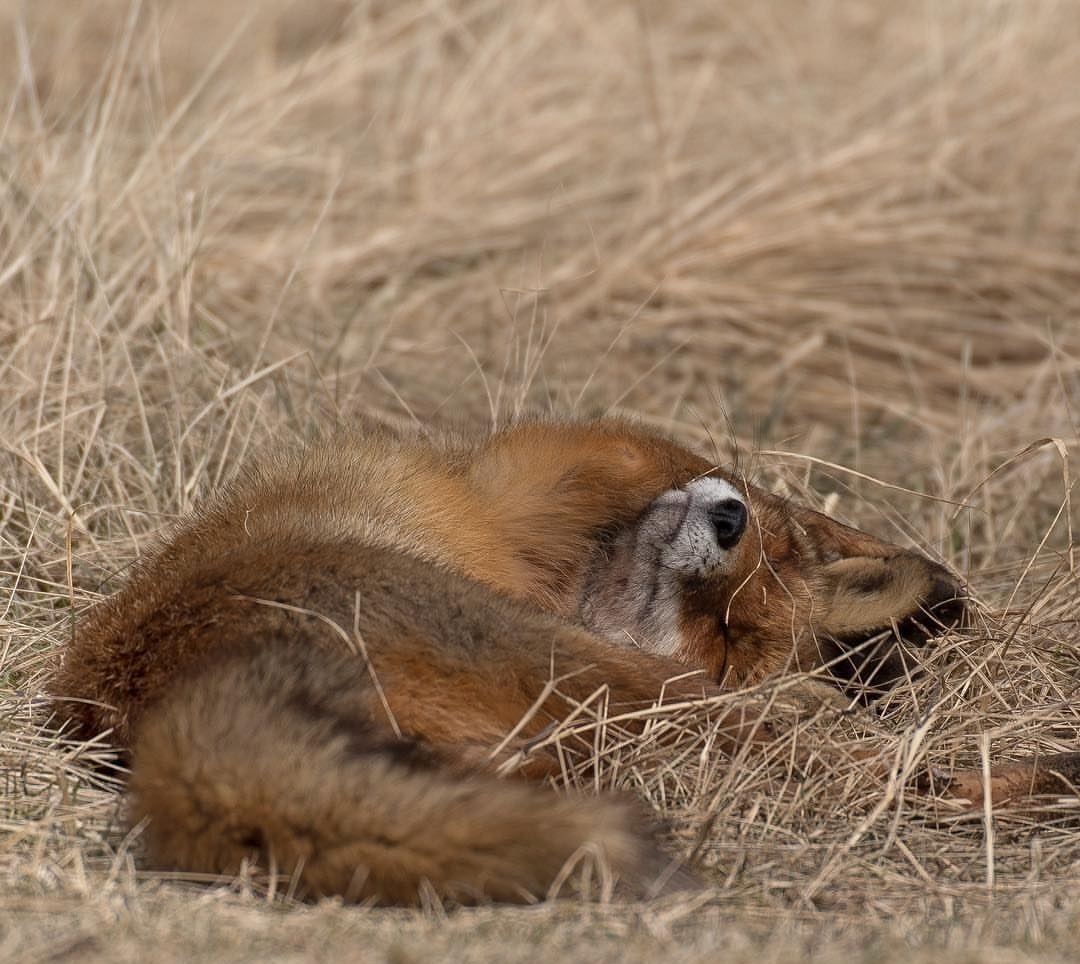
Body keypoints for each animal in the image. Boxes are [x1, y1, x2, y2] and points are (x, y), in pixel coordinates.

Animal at [52, 416, 1080, 902]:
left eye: (730, 633)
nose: (726, 522)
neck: (563, 565)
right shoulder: (557, 461)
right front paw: (914, 581)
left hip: (574, 716)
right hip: (582, 683)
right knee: (818, 756)